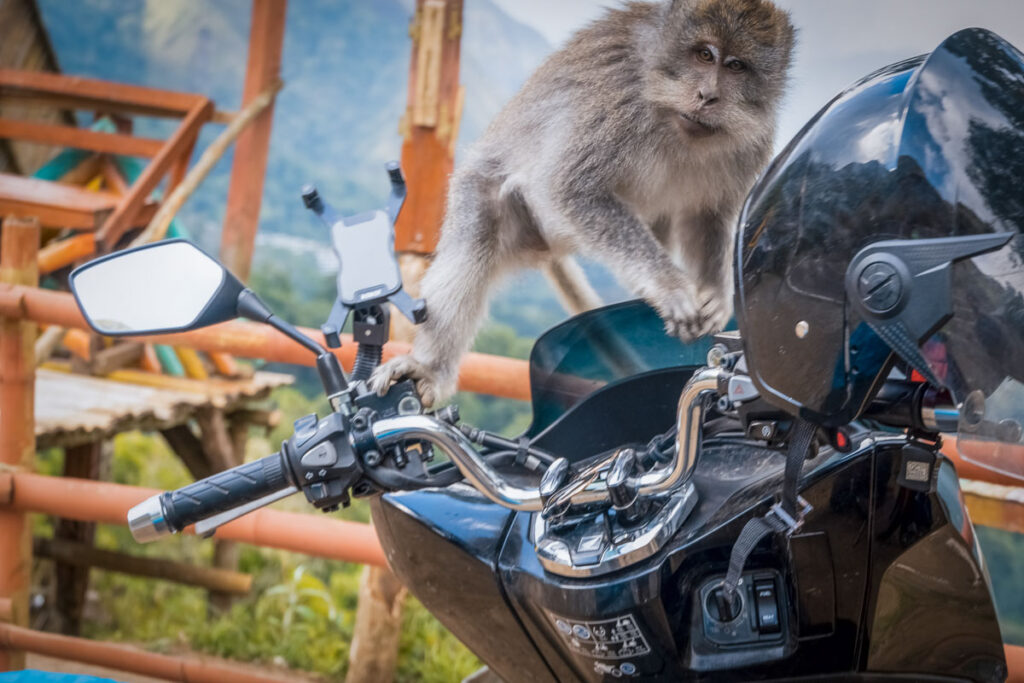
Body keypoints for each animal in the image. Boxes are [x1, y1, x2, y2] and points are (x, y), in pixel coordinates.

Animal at [372, 0, 794, 405]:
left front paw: (715, 298)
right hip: (507, 209)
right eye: (704, 55)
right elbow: (570, 189)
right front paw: (671, 288)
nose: (708, 96)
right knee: (476, 232)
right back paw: (427, 367)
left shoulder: (752, 143)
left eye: (736, 66)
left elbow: (707, 216)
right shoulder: (617, 103)